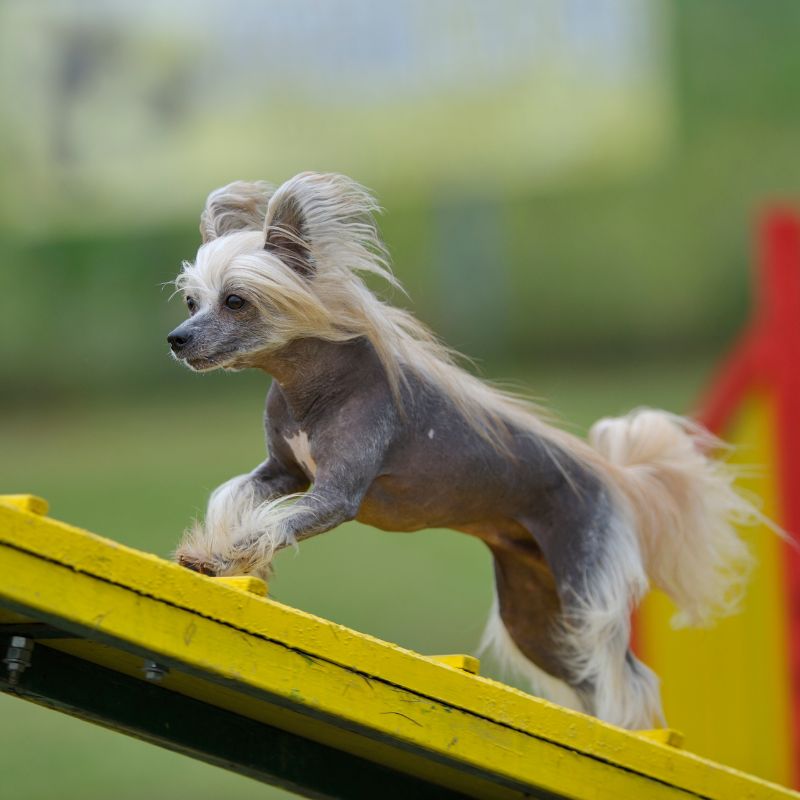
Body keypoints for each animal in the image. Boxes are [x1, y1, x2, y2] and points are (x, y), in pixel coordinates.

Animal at [167, 172, 756, 728]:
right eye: (193, 302)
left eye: (236, 300)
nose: (176, 339)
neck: (312, 388)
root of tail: (618, 479)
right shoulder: (282, 473)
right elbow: (235, 496)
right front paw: (211, 550)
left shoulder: (336, 495)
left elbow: (272, 522)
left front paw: (226, 556)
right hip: (533, 616)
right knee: (587, 678)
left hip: (584, 593)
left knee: (627, 680)